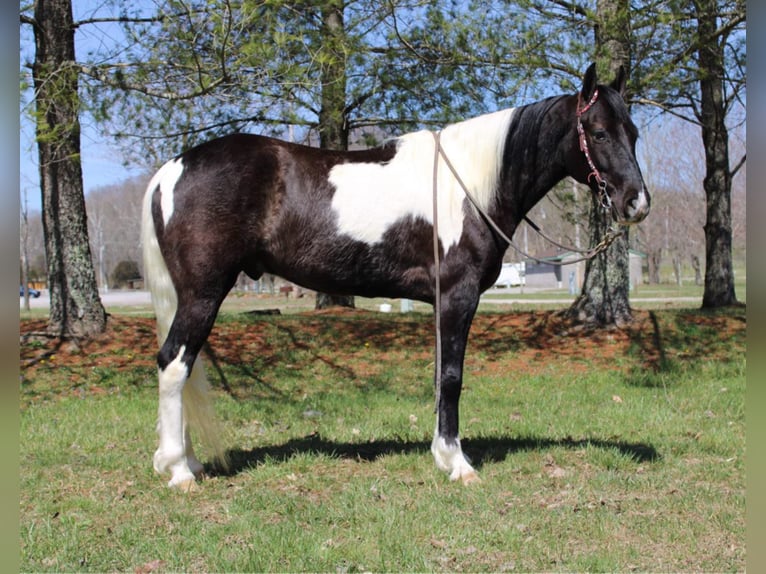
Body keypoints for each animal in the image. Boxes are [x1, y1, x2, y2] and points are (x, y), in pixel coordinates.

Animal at [141, 65, 652, 492]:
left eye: (633, 133)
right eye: (599, 132)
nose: (637, 203)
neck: (471, 185)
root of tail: (172, 169)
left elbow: (439, 375)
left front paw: (442, 456)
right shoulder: (458, 297)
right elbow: (451, 377)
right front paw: (458, 463)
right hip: (203, 294)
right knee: (174, 364)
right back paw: (179, 471)